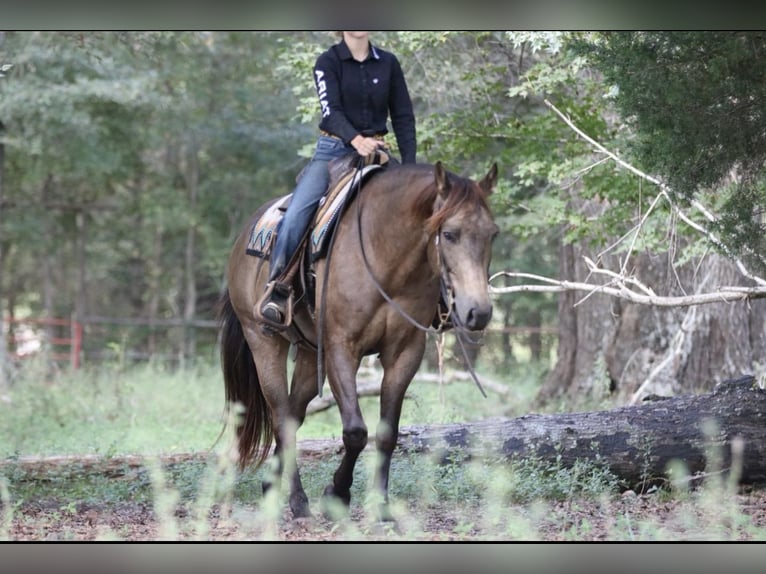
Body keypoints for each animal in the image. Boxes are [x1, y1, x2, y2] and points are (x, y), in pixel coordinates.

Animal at [218, 157, 498, 520]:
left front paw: (382, 507)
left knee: (293, 416)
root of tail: (243, 239)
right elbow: (355, 432)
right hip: (263, 340)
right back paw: (299, 501)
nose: (479, 312)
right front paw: (336, 495)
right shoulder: (341, 348)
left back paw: (273, 487)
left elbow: (387, 434)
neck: (386, 257)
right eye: (449, 234)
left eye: (493, 233)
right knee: (281, 416)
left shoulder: (405, 353)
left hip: (309, 353)